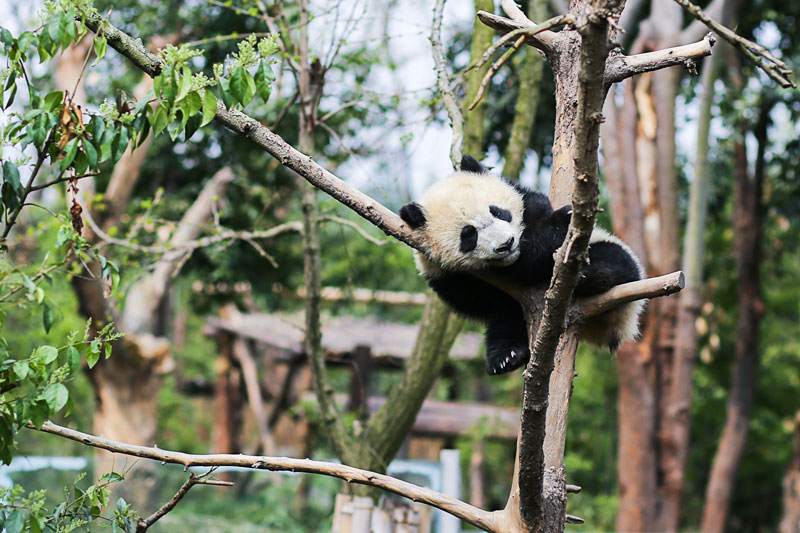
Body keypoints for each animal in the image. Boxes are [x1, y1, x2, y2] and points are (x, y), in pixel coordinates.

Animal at [399, 156, 645, 375]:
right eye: (469, 234)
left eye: (498, 212)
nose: (506, 244)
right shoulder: (444, 275)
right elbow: (479, 295)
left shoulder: (528, 203)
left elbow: (538, 233)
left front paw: (565, 217)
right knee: (506, 317)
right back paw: (506, 357)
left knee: (617, 260)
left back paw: (592, 275)